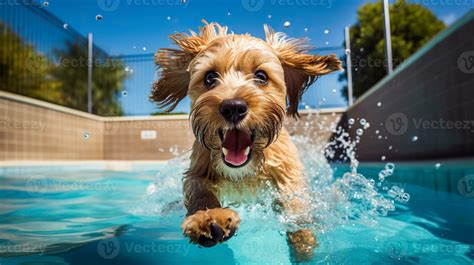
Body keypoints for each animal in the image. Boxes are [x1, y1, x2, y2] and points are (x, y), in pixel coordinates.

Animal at [152, 21, 340, 260]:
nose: (233, 107)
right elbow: (199, 191)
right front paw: (207, 217)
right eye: (210, 77)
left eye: (261, 76)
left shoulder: (288, 175)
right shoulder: (198, 170)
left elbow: (296, 209)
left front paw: (303, 243)